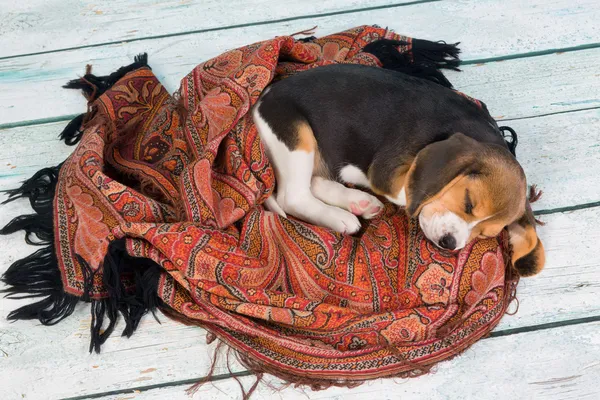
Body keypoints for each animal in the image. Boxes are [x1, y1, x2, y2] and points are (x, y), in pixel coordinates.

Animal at [251, 63, 548, 276]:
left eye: (486, 234)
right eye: (468, 202)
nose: (450, 243)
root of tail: (263, 99)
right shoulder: (388, 173)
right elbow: (411, 196)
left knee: (313, 183)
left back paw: (359, 202)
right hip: (297, 137)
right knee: (293, 196)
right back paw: (341, 217)